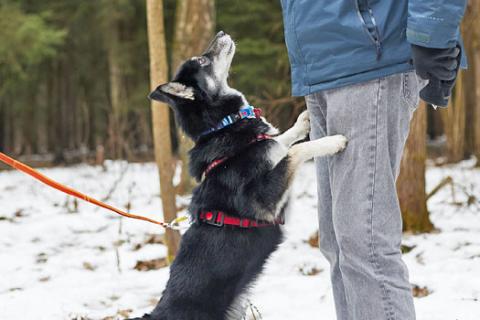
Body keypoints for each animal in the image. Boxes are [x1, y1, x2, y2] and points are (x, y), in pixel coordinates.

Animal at [129, 30, 346, 320]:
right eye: (201, 59)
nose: (221, 33)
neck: (223, 126)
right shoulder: (264, 202)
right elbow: (294, 151)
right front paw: (333, 142)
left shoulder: (265, 148)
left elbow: (279, 141)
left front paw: (303, 121)